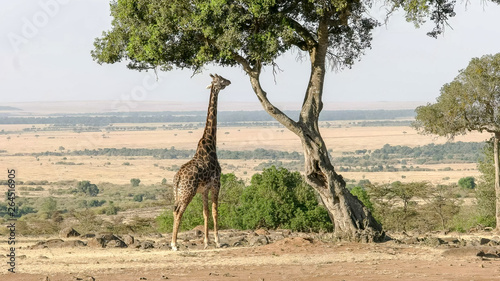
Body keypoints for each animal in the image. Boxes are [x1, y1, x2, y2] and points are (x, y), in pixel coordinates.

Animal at [169, 73, 229, 250]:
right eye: (220, 80)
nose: (229, 81)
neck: (210, 143)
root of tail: (178, 178)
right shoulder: (216, 183)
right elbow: (215, 211)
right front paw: (217, 241)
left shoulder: (204, 189)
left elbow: (205, 212)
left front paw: (207, 242)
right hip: (187, 192)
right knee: (179, 211)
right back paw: (174, 244)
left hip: (178, 192)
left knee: (174, 209)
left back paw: (174, 242)